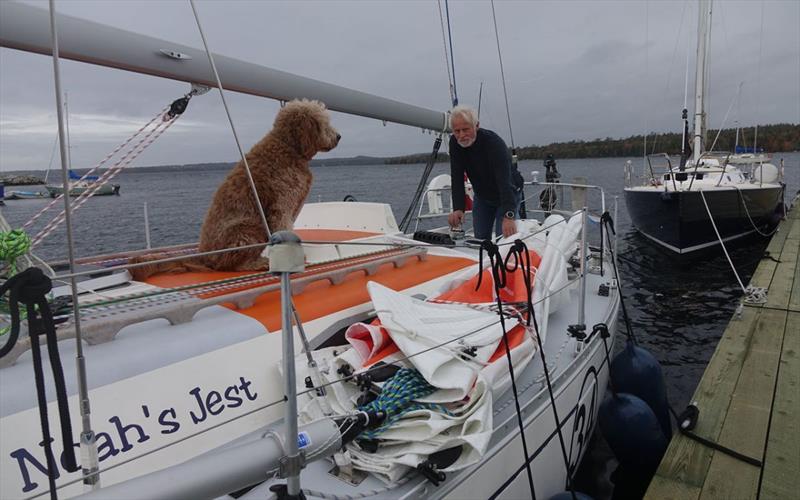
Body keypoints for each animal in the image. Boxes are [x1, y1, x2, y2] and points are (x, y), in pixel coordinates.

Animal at [130, 98, 340, 282]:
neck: (288, 146)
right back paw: (258, 263)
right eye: (324, 122)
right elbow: (284, 229)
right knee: (231, 265)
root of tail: (203, 256)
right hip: (249, 228)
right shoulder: (281, 206)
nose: (338, 136)